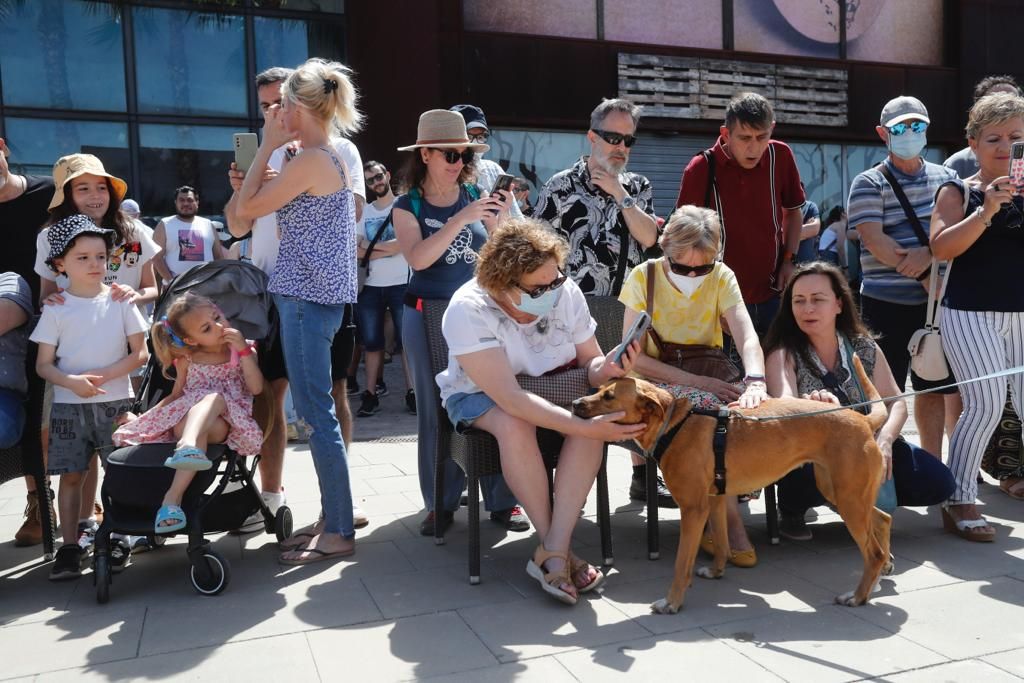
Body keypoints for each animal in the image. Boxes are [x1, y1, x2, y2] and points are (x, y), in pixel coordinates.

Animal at [573, 358, 892, 614]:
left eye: (609, 396)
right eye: (601, 389)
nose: (576, 404)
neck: (674, 425)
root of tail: (863, 419)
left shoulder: (693, 509)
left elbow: (681, 563)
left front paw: (672, 602)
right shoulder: (714, 499)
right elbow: (722, 542)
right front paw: (716, 572)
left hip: (848, 500)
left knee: (872, 551)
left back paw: (858, 595)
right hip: (841, 494)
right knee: (883, 519)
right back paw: (880, 575)